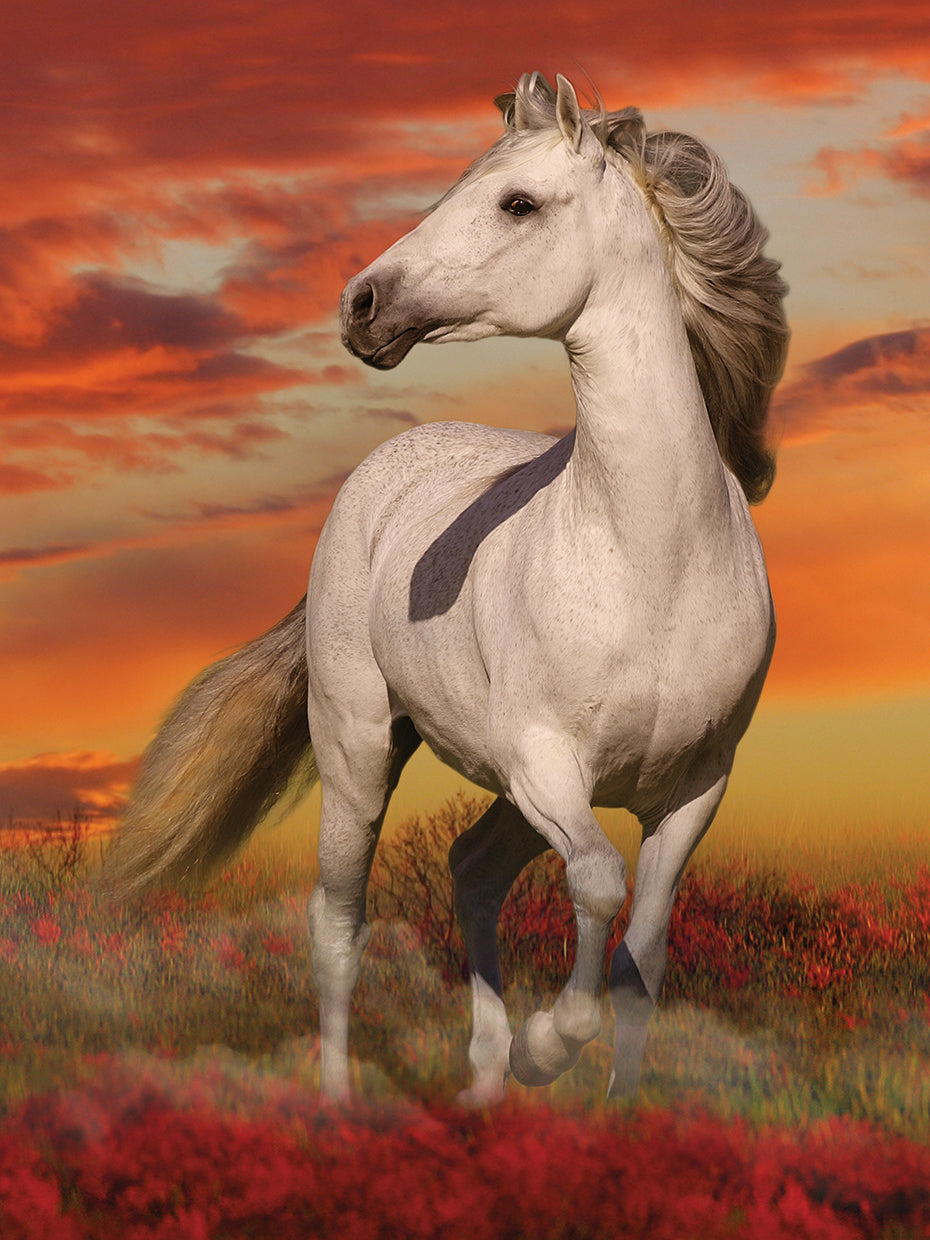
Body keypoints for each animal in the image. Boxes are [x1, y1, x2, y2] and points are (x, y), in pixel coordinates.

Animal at [103, 71, 788, 1105]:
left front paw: (609, 1109)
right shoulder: (548, 765)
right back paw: (345, 1105)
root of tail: (374, 479)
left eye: (518, 204)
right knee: (337, 922)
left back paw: (484, 1086)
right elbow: (596, 885)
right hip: (360, 753)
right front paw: (549, 1047)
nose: (361, 302)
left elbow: (642, 956)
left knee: (472, 870)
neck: (651, 563)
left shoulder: (694, 788)